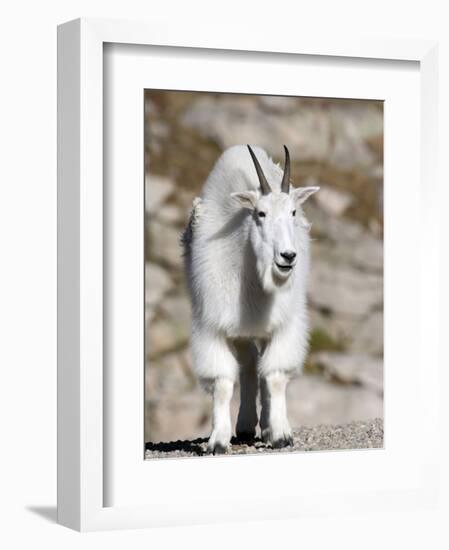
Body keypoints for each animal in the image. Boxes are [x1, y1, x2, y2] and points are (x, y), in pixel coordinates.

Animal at [182, 144, 318, 454]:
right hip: (241, 332)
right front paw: (217, 441)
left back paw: (266, 427)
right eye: (260, 213)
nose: (287, 257)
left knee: (261, 368)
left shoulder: (284, 325)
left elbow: (276, 375)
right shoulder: (213, 326)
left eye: (293, 211)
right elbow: (222, 382)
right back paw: (245, 425)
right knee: (249, 363)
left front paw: (280, 435)